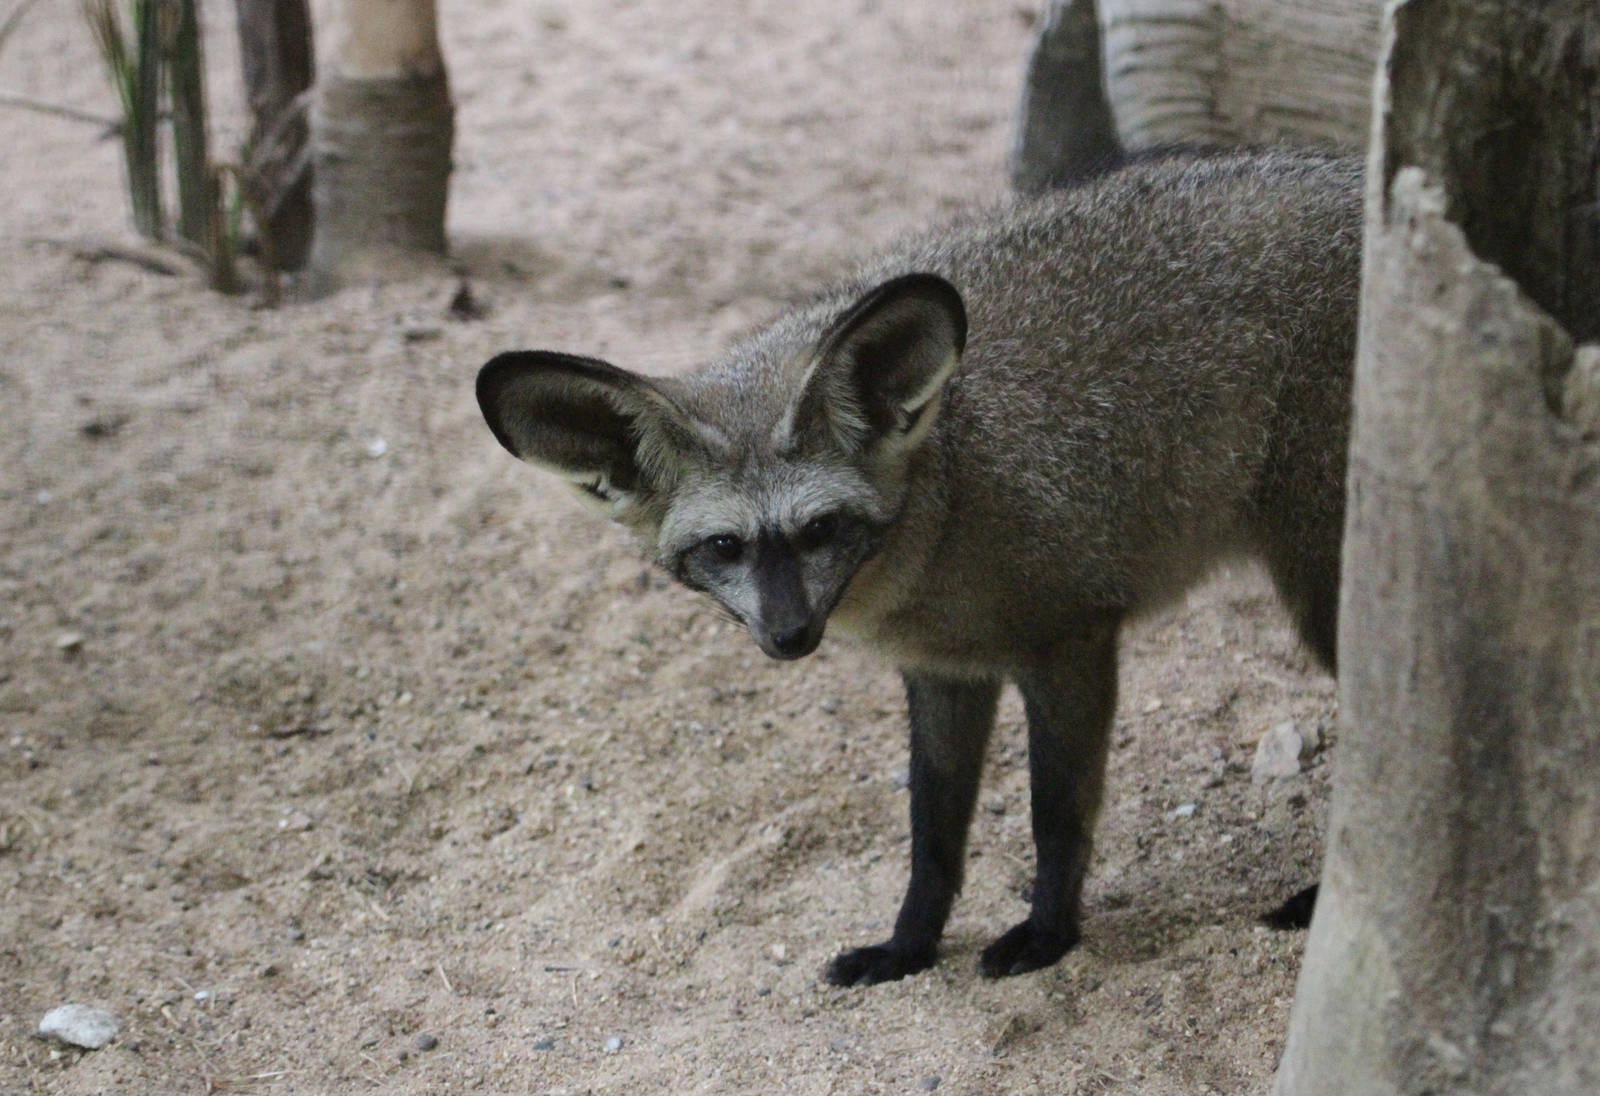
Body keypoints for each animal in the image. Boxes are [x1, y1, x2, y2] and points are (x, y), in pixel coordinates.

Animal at [476, 148, 1362, 985]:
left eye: (821, 529)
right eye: (725, 547)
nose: (788, 636)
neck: (951, 499)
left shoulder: (1071, 643)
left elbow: (1055, 815)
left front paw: (1049, 936)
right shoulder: (943, 674)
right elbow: (931, 831)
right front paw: (909, 946)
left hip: (1328, 597)